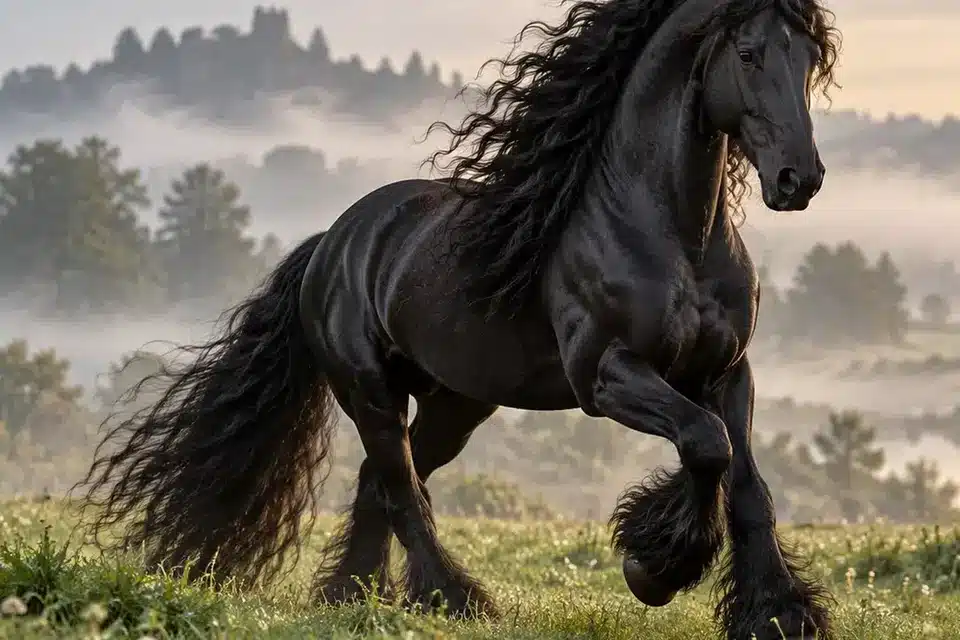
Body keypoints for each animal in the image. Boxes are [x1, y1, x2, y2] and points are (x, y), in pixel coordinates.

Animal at [77, 0, 841, 638]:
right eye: (749, 53)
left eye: (810, 58)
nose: (798, 180)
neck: (670, 233)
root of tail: (332, 242)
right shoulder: (607, 376)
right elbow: (706, 446)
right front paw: (652, 569)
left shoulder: (726, 372)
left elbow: (743, 480)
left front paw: (776, 613)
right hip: (370, 393)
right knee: (399, 488)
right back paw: (453, 600)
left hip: (456, 406)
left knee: (382, 481)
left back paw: (353, 596)